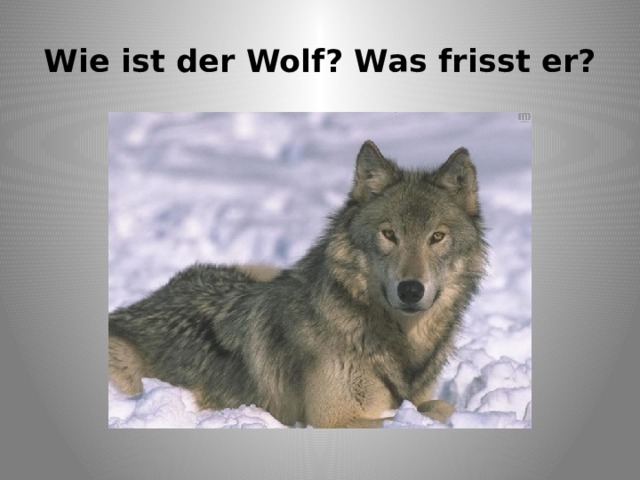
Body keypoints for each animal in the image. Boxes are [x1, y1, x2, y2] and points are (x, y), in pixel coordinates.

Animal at [109, 141, 487, 428]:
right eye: (389, 234)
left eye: (436, 237)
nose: (410, 290)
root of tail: (139, 304)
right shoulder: (334, 419)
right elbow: (432, 411)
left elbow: (435, 405)